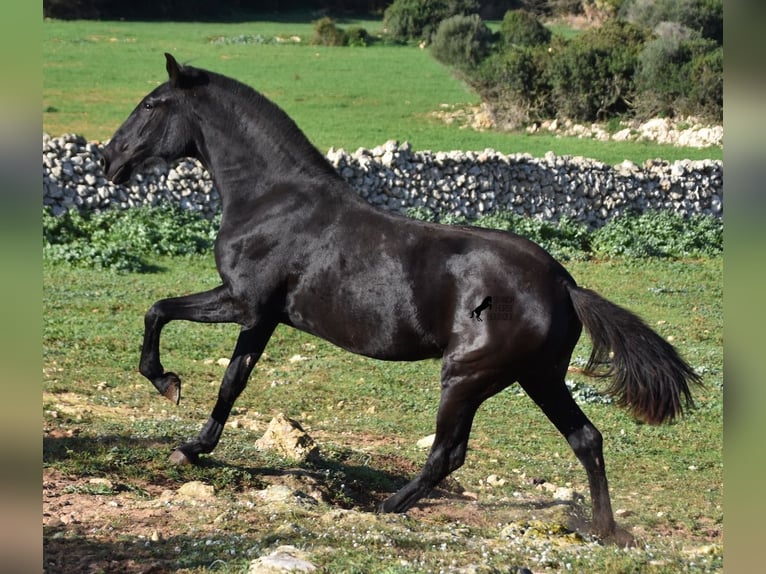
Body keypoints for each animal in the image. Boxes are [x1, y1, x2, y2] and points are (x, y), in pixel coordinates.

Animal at [103, 54, 704, 540]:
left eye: (152, 103)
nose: (110, 161)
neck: (274, 200)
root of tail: (565, 285)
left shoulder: (240, 302)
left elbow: (158, 311)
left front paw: (166, 383)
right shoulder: (263, 318)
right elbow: (232, 382)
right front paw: (193, 447)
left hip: (466, 376)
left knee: (449, 452)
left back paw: (388, 506)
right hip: (538, 377)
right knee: (586, 439)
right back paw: (606, 531)